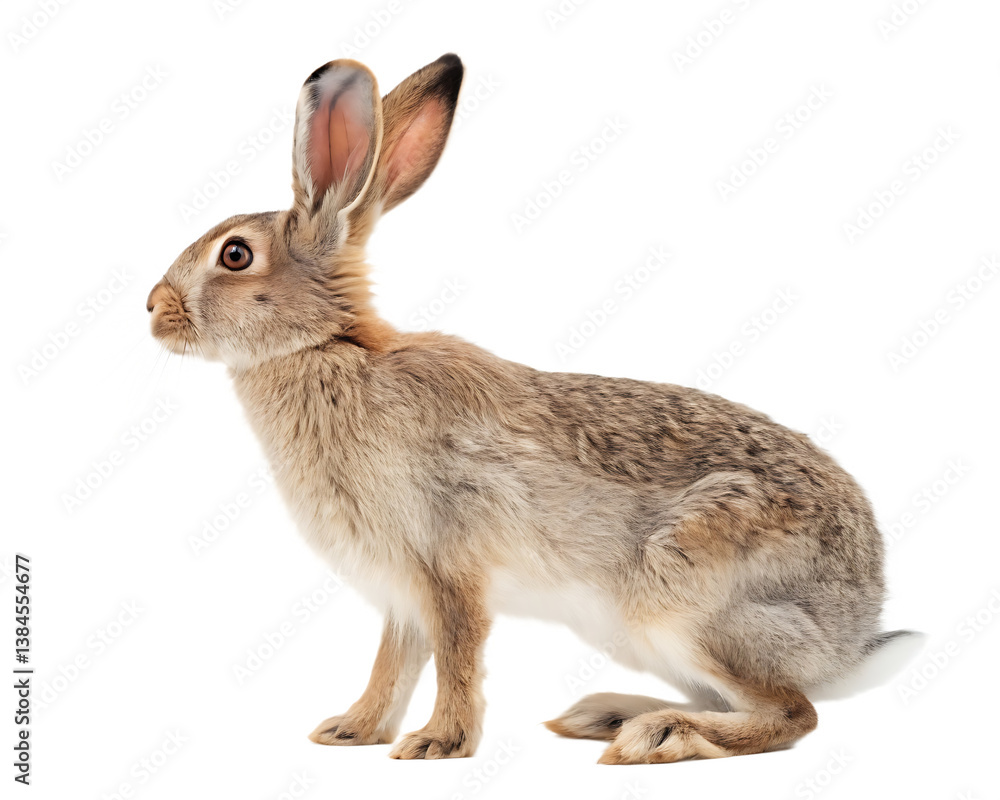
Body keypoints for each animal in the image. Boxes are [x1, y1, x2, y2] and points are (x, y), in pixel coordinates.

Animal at [147, 53, 907, 764]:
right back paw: (606, 714)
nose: (153, 310)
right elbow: (393, 662)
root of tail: (854, 630)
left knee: (792, 713)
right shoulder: (402, 591)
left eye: (235, 255)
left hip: (684, 604)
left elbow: (455, 656)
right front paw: (350, 730)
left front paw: (436, 743)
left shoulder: (448, 565)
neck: (325, 349)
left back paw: (657, 736)